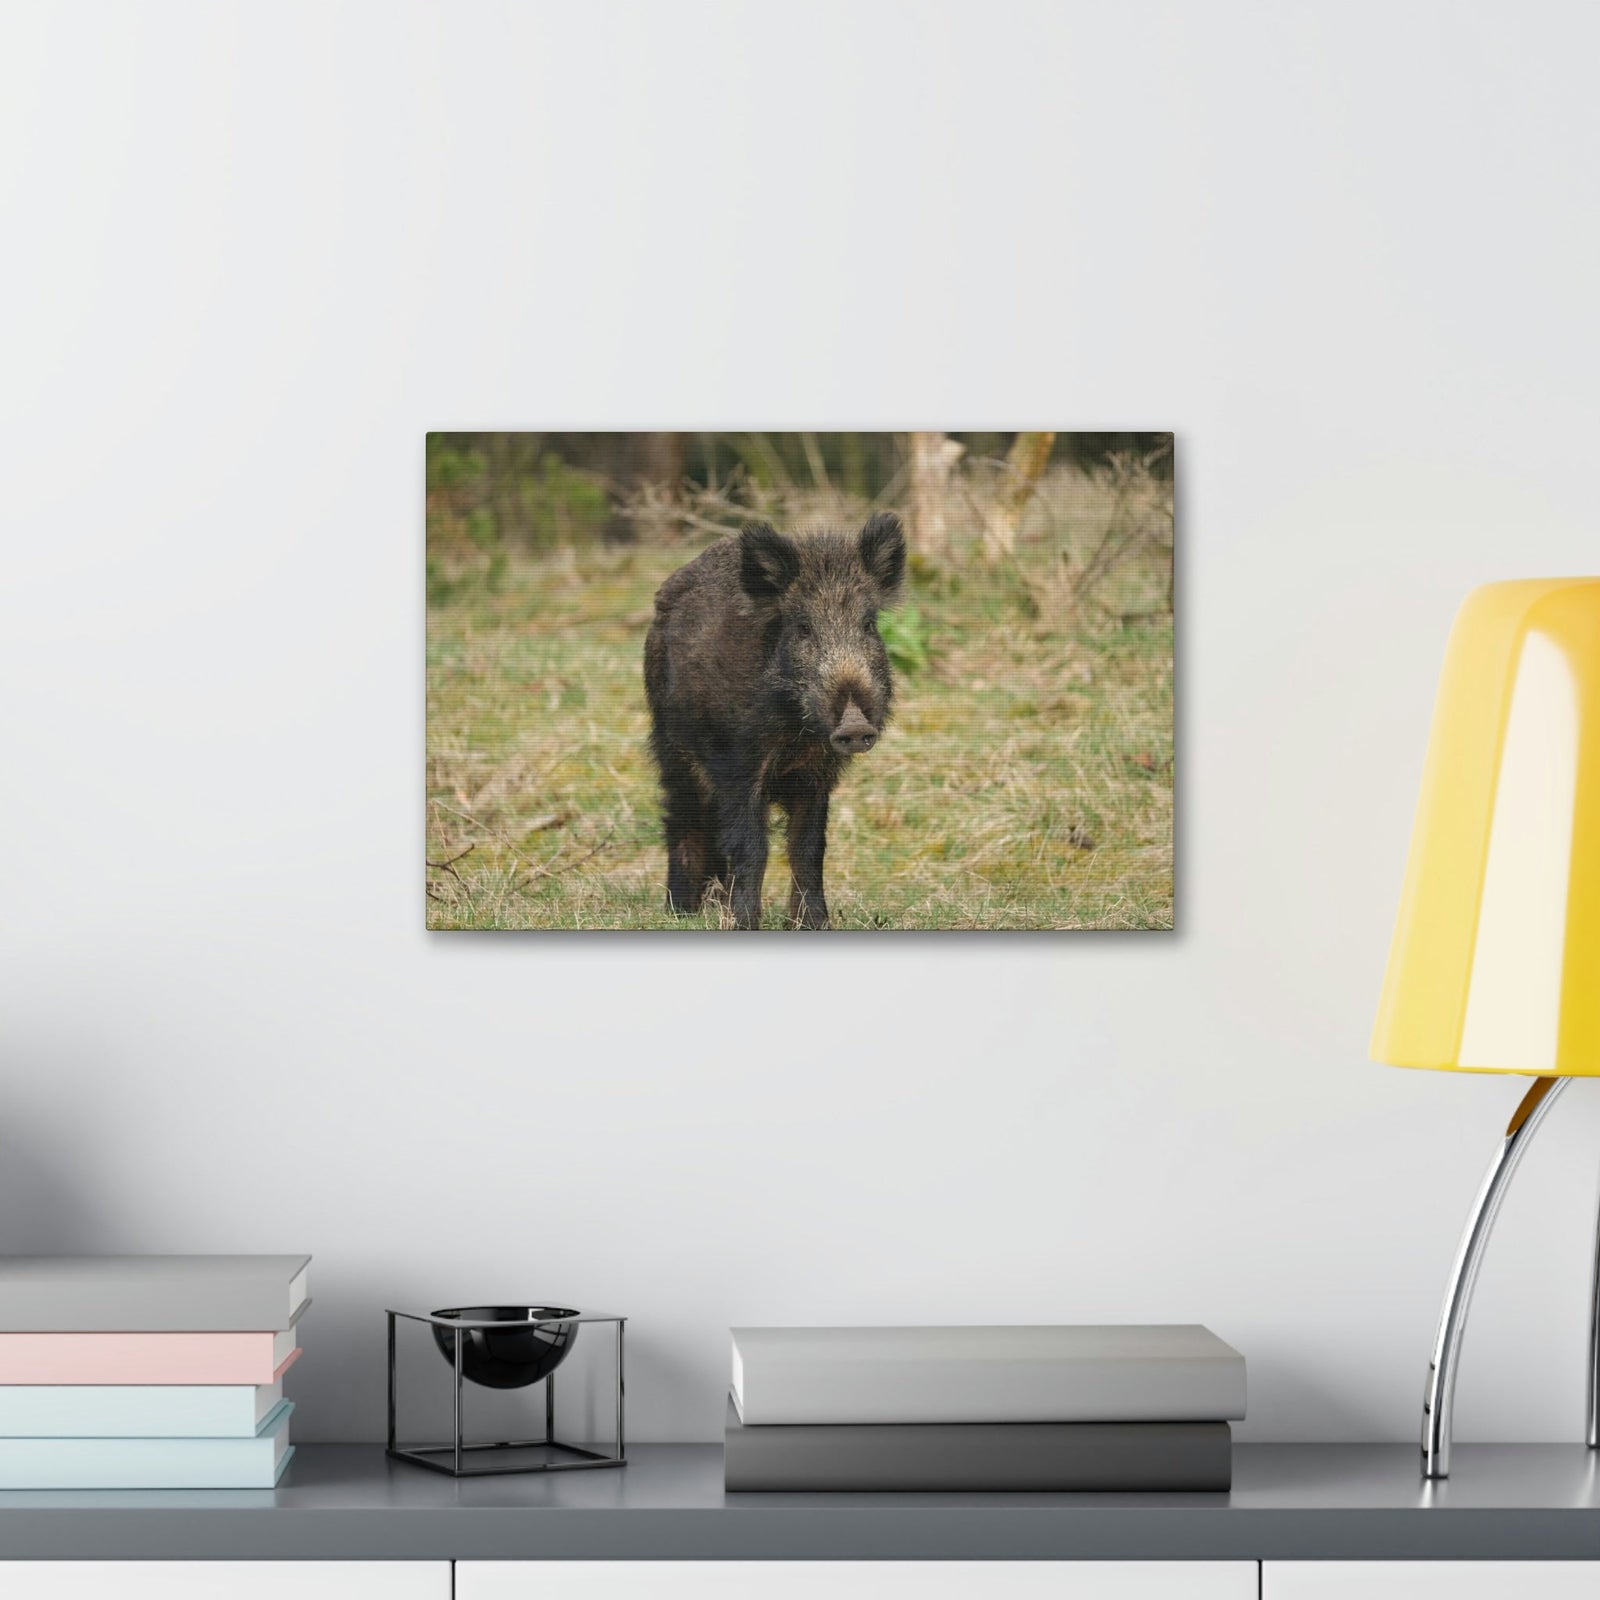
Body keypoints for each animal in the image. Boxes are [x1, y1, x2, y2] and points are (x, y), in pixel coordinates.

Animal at [643, 512, 907, 929]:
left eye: (868, 624)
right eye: (803, 627)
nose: (854, 725)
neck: (796, 732)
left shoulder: (817, 774)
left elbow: (809, 848)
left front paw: (815, 924)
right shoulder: (737, 765)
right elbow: (752, 847)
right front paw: (744, 924)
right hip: (672, 746)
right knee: (682, 814)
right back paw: (681, 910)